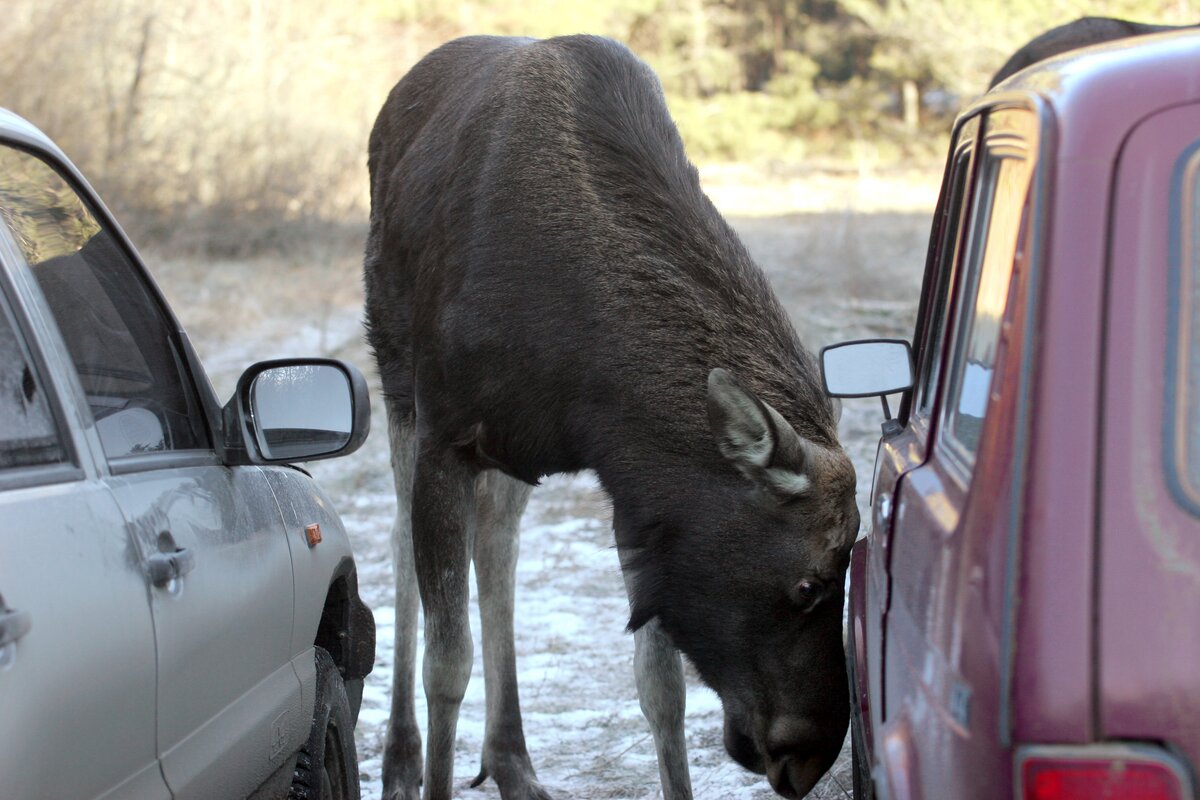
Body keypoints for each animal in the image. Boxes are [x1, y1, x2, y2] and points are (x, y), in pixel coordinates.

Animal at [364, 34, 864, 800]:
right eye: (809, 583)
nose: (809, 753)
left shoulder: (641, 488)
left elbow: (661, 686)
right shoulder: (446, 433)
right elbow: (446, 665)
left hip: (508, 456)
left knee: (498, 544)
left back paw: (512, 761)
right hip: (396, 382)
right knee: (397, 540)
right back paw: (400, 761)